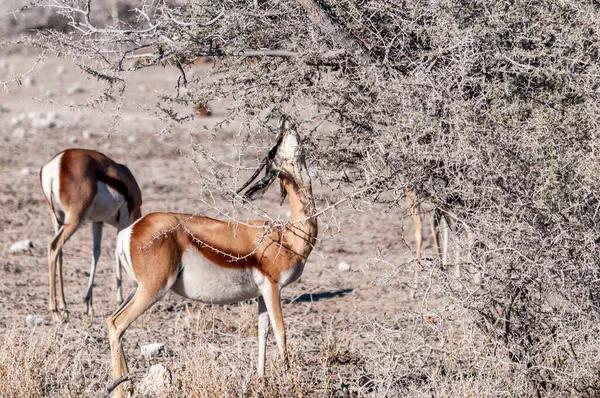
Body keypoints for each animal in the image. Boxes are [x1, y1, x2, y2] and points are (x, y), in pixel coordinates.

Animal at [40, 148, 143, 322]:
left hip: (57, 217)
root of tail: (59, 161)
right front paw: (119, 300)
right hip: (76, 217)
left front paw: (89, 304)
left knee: (59, 252)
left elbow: (96, 253)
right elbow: (117, 251)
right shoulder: (125, 214)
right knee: (54, 246)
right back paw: (55, 311)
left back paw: (64, 308)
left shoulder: (97, 221)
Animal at [107, 116, 316, 396]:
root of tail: (129, 231)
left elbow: (262, 332)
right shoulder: (273, 287)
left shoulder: (262, 292)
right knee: (119, 324)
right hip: (154, 289)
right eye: (274, 148)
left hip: (138, 288)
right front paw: (290, 383)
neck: (288, 235)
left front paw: (261, 380)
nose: (285, 120)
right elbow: (281, 333)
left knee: (112, 321)